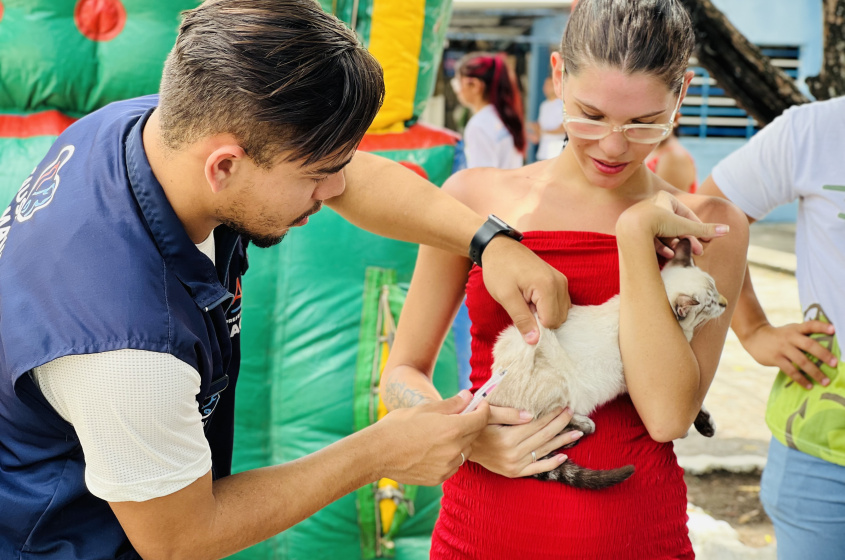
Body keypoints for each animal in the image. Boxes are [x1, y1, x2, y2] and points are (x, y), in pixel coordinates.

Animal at [488, 241, 724, 490]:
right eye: (710, 304)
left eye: (716, 289)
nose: (725, 303)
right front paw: (689, 431)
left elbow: (697, 404)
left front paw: (706, 426)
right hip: (557, 375)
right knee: (547, 421)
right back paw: (582, 426)